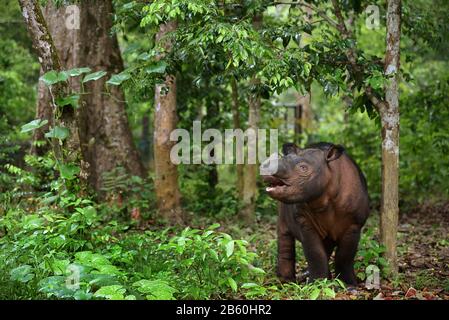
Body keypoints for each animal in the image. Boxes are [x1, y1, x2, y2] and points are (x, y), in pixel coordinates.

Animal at [260, 142, 368, 284]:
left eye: (303, 168)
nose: (265, 167)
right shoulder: (304, 220)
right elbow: (315, 252)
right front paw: (316, 283)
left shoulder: (354, 224)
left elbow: (345, 256)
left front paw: (348, 284)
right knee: (284, 232)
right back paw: (286, 281)